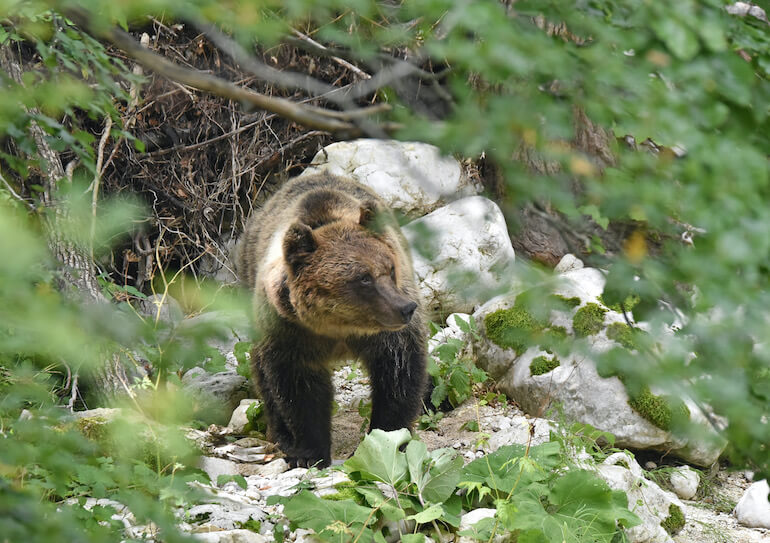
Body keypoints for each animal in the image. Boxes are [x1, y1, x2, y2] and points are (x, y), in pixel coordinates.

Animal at [235, 172, 428, 468]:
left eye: (390, 268)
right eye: (364, 278)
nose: (406, 308)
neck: (340, 326)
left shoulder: (386, 334)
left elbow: (398, 371)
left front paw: (389, 438)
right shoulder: (290, 330)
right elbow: (299, 387)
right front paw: (309, 453)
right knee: (261, 372)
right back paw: (281, 435)